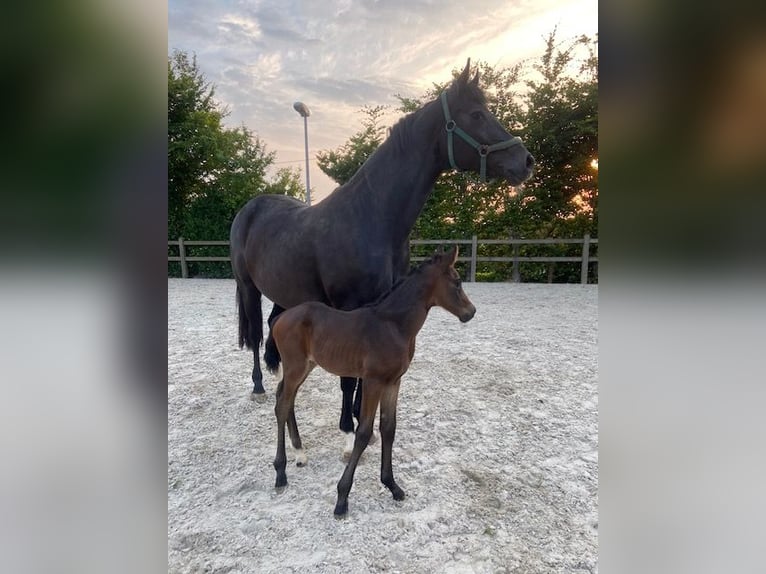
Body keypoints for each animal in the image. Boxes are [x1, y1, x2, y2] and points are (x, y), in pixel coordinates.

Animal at [270, 248, 474, 516]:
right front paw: (342, 497)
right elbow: (364, 432)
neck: (393, 325)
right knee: (282, 404)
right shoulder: (372, 382)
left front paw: (392, 486)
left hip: (305, 366)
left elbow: (388, 427)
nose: (471, 312)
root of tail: (280, 318)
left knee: (285, 397)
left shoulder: (393, 382)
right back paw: (281, 472)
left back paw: (299, 454)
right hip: (296, 367)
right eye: (457, 282)